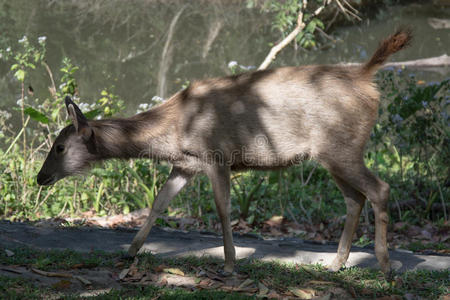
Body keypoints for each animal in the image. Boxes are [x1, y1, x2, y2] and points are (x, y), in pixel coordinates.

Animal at [37, 29, 414, 276]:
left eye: (59, 146)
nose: (41, 177)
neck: (173, 131)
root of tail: (367, 76)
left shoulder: (216, 157)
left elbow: (222, 210)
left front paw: (230, 264)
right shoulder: (185, 165)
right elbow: (158, 203)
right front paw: (130, 251)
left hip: (342, 146)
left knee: (380, 189)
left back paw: (385, 266)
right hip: (333, 153)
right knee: (355, 198)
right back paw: (337, 263)